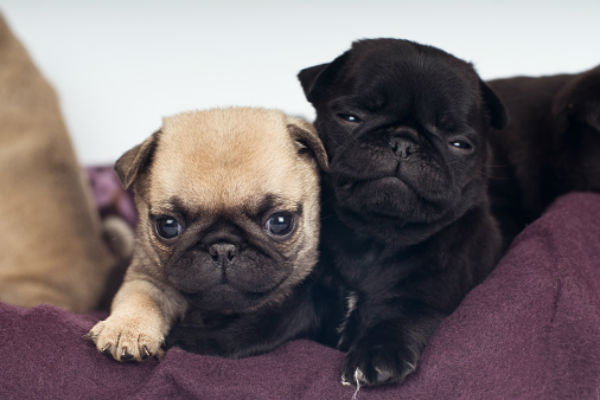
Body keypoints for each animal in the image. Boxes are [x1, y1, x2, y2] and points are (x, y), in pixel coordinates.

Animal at [86, 108, 344, 360]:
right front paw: (126, 330)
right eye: (168, 226)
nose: (222, 247)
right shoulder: (146, 277)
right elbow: (140, 298)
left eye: (280, 223)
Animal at [298, 39, 508, 386]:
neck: (375, 236)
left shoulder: (428, 298)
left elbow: (402, 317)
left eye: (459, 144)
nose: (403, 142)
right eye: (350, 117)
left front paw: (378, 353)